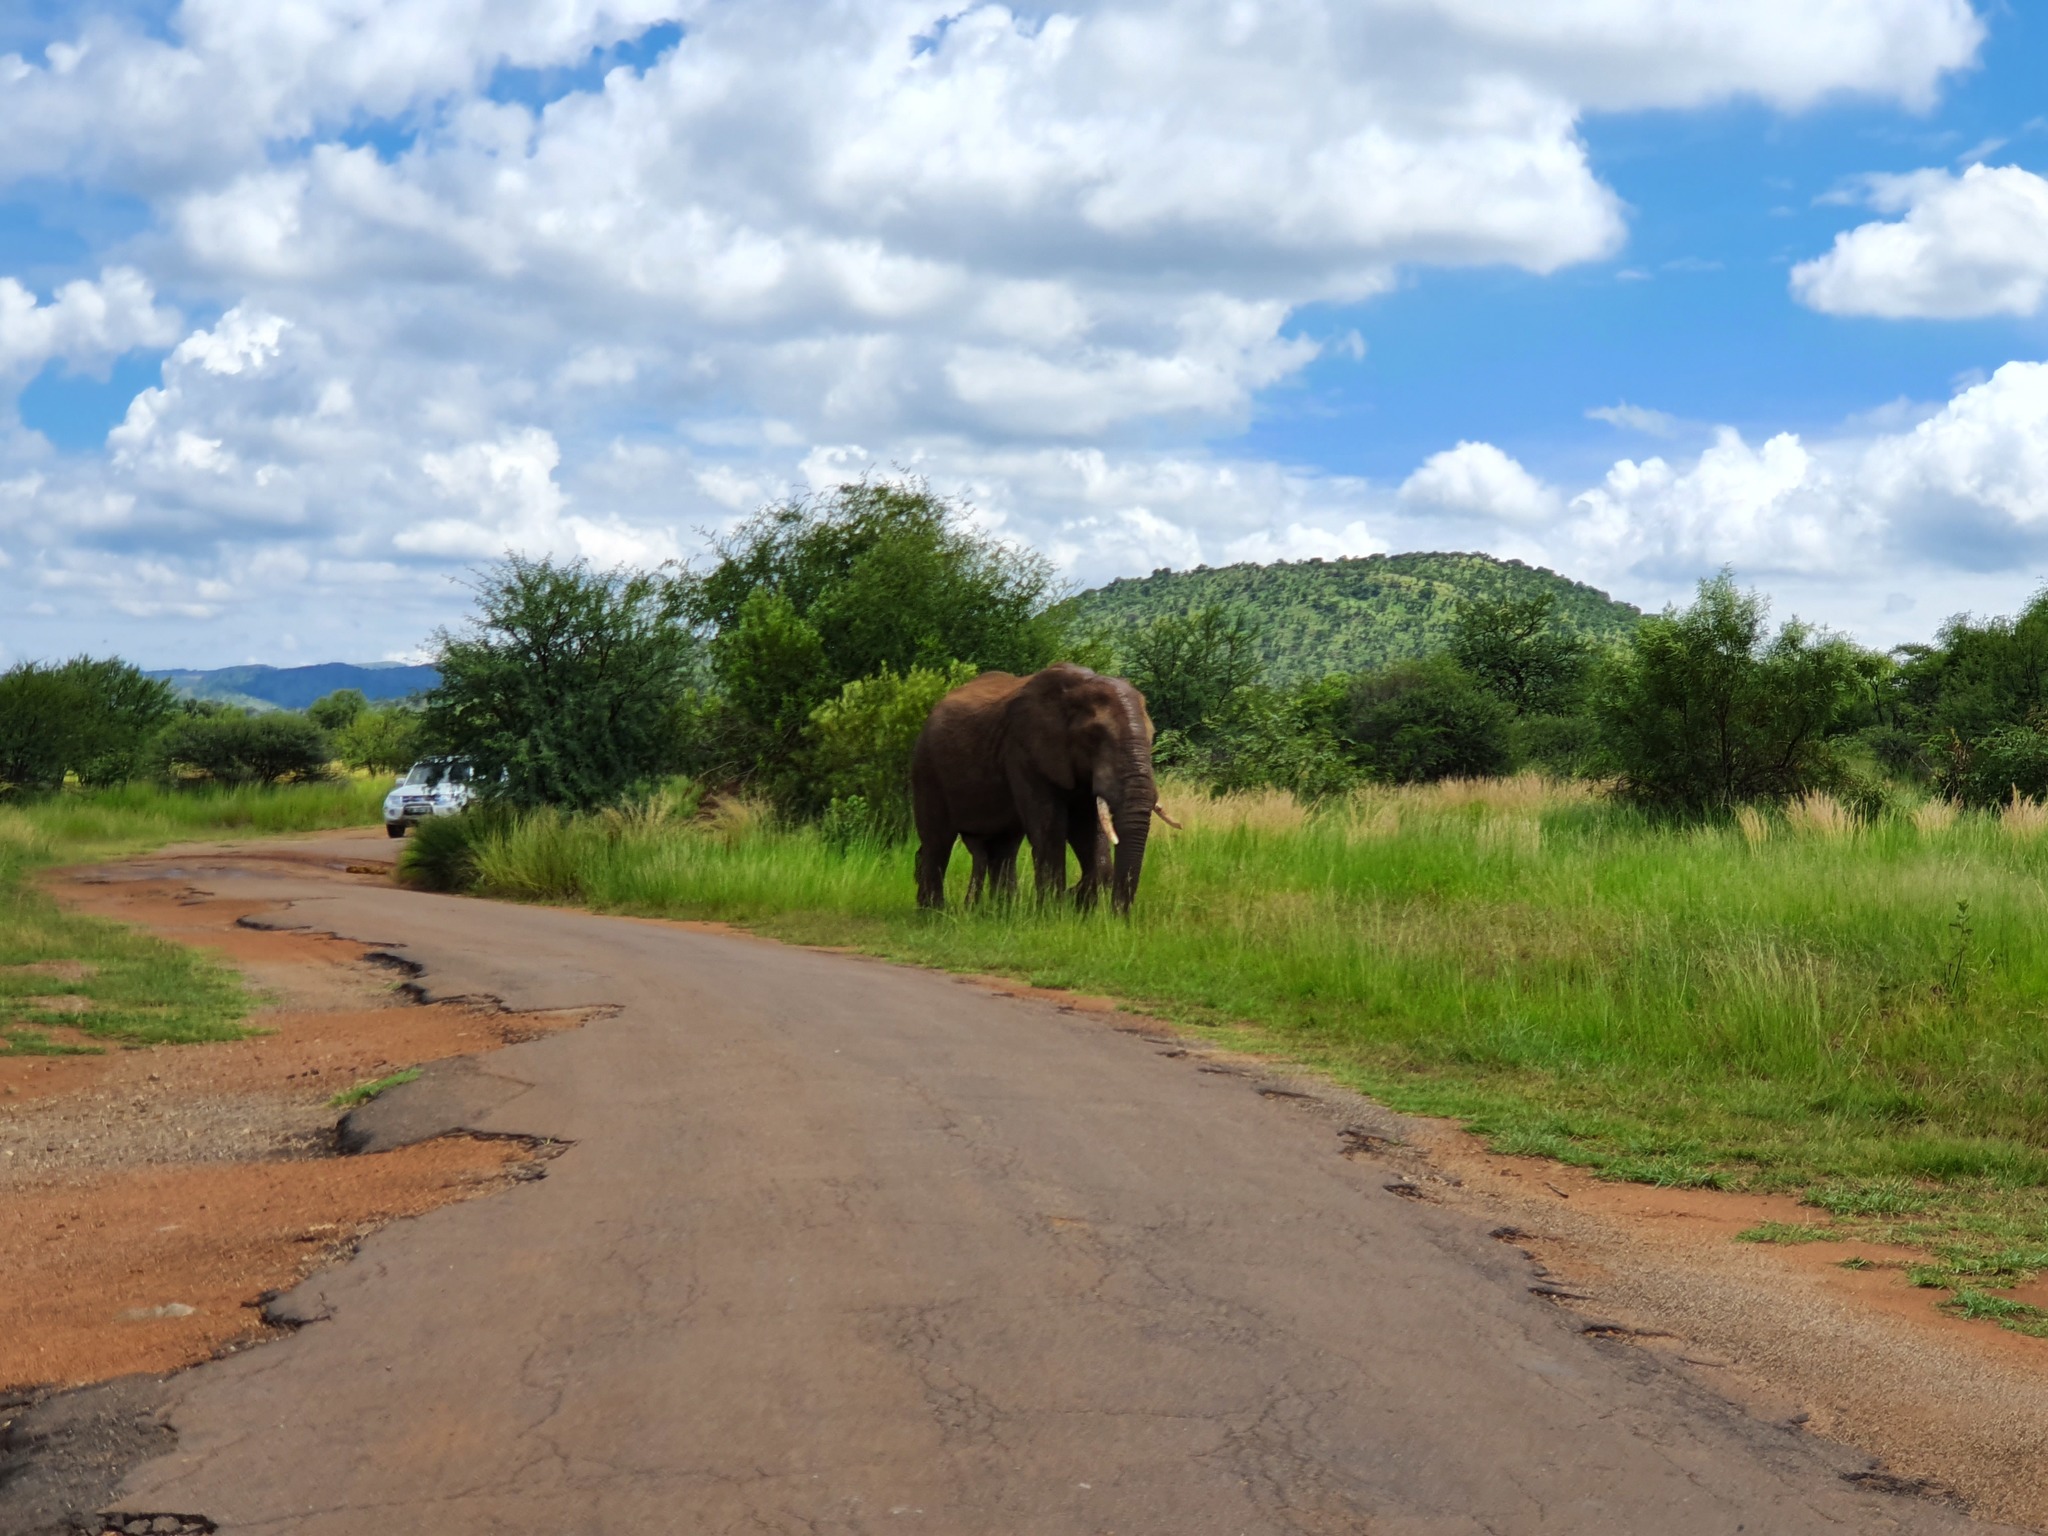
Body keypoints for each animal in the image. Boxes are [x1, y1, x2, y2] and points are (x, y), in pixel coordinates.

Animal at [917, 663, 1171, 913]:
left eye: (1152, 736)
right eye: (1093, 737)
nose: (1119, 916)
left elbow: (1086, 826)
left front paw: (1077, 905)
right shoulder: (1024, 751)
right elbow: (1050, 828)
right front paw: (1054, 912)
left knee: (1004, 846)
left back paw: (1001, 913)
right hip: (927, 767)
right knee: (937, 842)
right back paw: (933, 913)